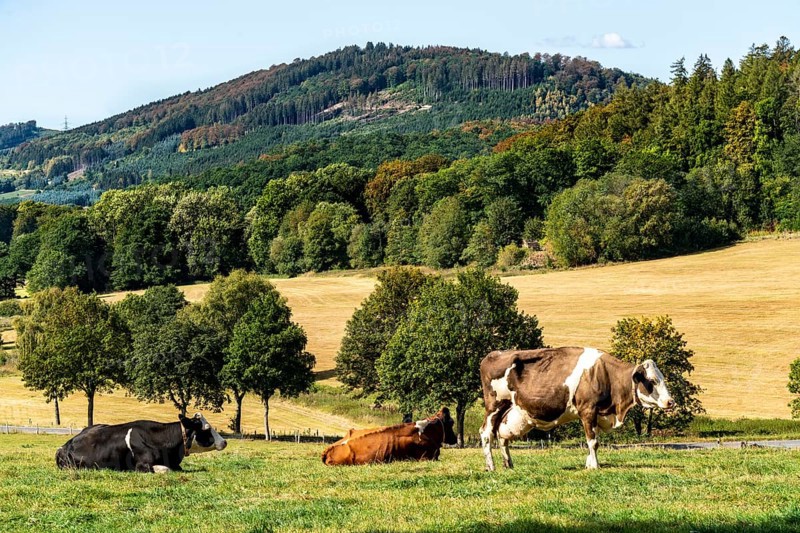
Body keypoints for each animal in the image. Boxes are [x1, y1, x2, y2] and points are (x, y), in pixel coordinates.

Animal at [480, 347, 675, 471]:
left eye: (663, 378)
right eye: (652, 381)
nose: (670, 402)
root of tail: (492, 355)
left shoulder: (597, 414)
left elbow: (593, 440)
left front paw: (589, 464)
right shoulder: (588, 410)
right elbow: (593, 441)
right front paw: (595, 466)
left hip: (508, 410)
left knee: (501, 436)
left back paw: (509, 464)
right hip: (494, 405)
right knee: (486, 433)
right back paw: (491, 466)